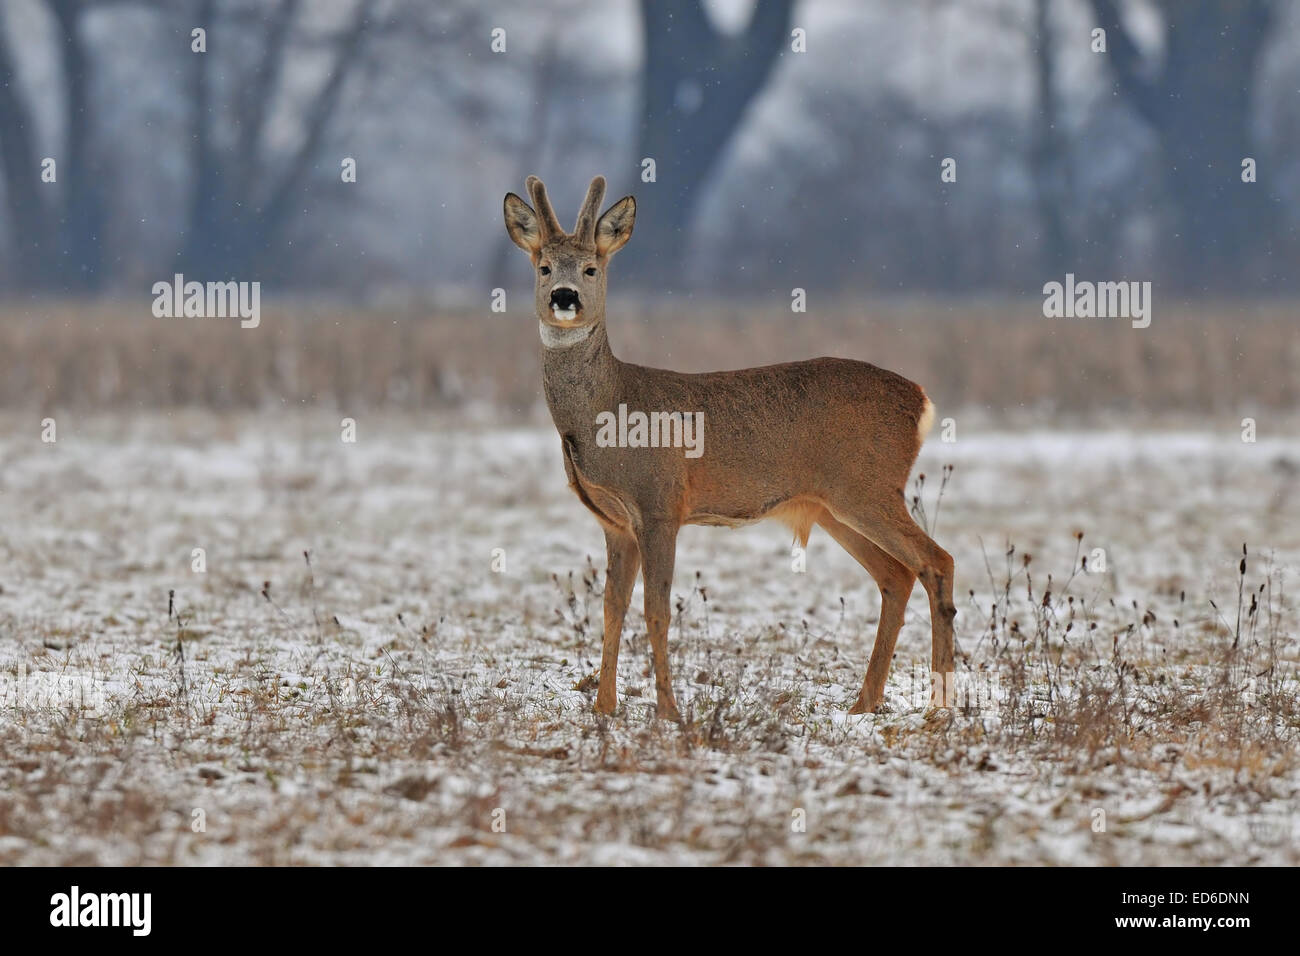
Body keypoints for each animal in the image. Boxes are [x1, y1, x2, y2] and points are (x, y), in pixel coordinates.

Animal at [503, 174, 956, 722]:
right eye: (544, 266)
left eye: (592, 267)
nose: (564, 296)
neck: (606, 412)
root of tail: (921, 400)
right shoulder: (615, 523)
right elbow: (612, 608)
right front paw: (604, 707)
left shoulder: (660, 503)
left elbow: (656, 610)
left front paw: (668, 711)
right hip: (833, 504)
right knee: (897, 575)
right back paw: (864, 703)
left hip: (868, 487)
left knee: (938, 561)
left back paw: (940, 704)